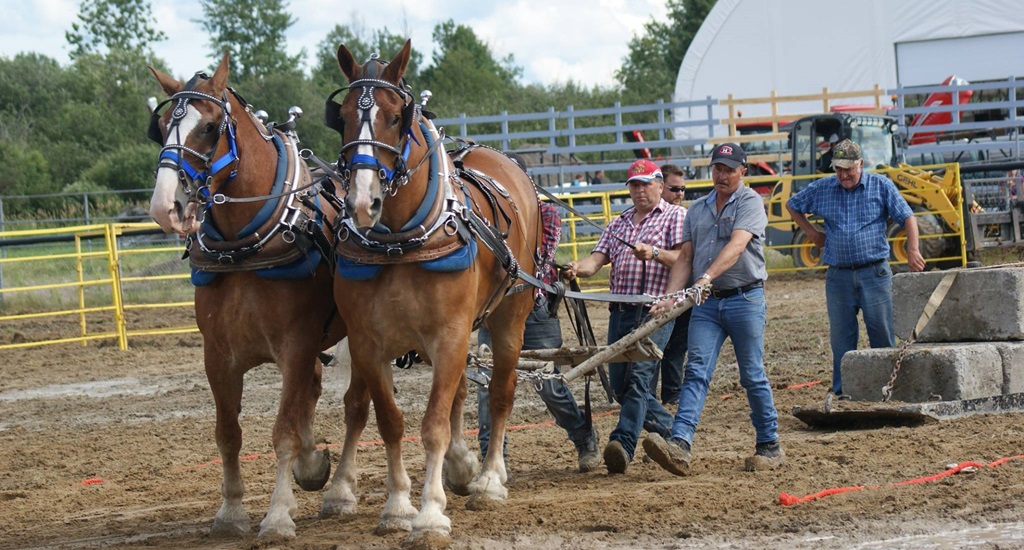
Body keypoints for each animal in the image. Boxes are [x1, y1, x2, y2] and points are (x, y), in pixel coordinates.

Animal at [147, 53, 347, 540]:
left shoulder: (295, 346)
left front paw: (277, 515)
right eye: (160, 126)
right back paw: (313, 467)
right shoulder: (217, 355)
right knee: (315, 389)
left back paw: (341, 491)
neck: (245, 245)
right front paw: (231, 512)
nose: (165, 206)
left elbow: (283, 430)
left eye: (209, 126)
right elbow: (227, 434)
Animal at [322, 40, 541, 546]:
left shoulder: (450, 335)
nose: (362, 202)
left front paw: (430, 513)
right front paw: (398, 506)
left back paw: (488, 480)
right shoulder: (367, 343)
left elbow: (434, 425)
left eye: (394, 116)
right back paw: (461, 470)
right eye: (342, 116)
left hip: (509, 318)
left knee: (500, 393)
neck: (400, 243)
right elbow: (390, 420)